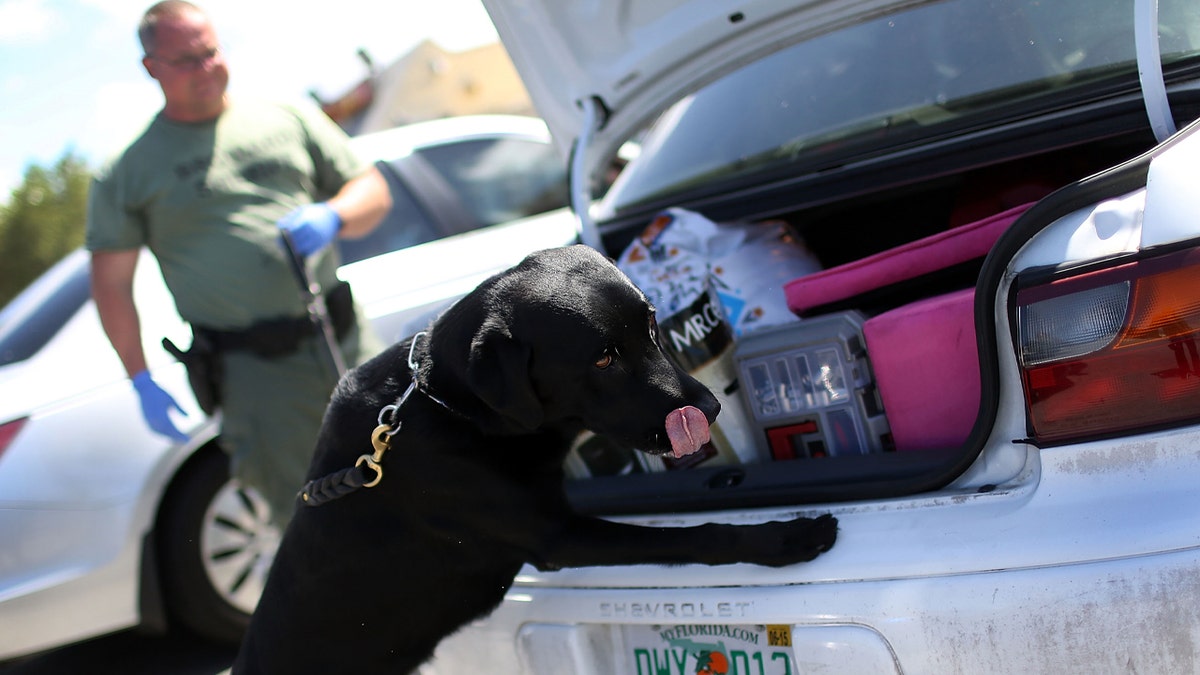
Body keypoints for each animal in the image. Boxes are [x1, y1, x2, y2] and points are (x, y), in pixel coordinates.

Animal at [231, 243, 835, 667]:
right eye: (603, 360)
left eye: (651, 325)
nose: (710, 407)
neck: (449, 405)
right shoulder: (560, 537)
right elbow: (698, 536)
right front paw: (788, 537)